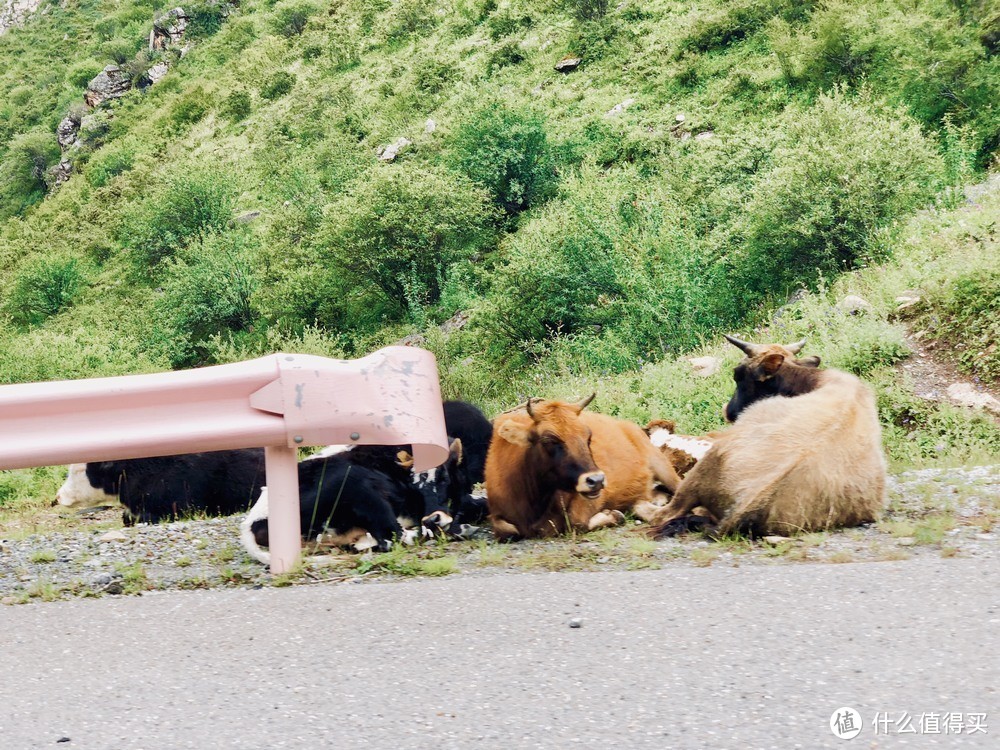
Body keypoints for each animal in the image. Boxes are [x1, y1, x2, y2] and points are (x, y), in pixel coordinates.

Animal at [484, 394, 680, 540]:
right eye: (549, 440)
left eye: (588, 436)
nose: (597, 480)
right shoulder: (497, 513)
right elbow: (507, 531)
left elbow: (576, 522)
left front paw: (613, 515)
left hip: (661, 465)